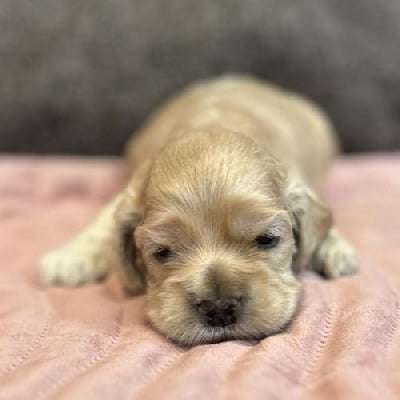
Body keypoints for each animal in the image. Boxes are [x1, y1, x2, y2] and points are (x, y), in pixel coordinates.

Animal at [41, 76, 360, 346]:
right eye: (162, 252)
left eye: (267, 239)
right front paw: (68, 259)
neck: (211, 126)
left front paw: (336, 249)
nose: (219, 309)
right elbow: (105, 223)